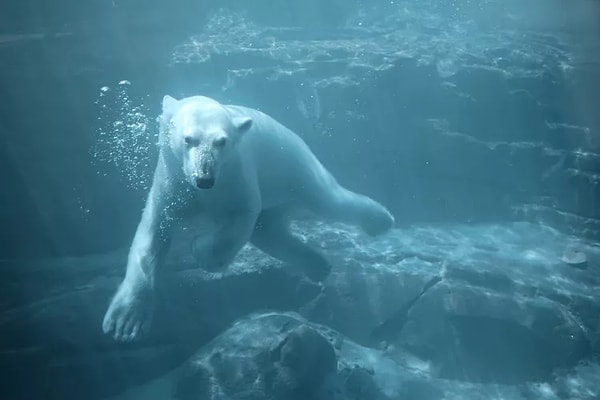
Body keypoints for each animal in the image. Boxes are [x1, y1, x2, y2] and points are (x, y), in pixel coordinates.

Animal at [103, 94, 394, 340]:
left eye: (221, 141)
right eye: (188, 139)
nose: (204, 179)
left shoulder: (236, 175)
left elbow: (241, 218)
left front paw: (202, 252)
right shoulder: (170, 183)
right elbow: (153, 236)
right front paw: (125, 322)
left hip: (294, 168)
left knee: (328, 199)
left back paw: (380, 220)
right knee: (269, 232)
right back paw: (318, 264)